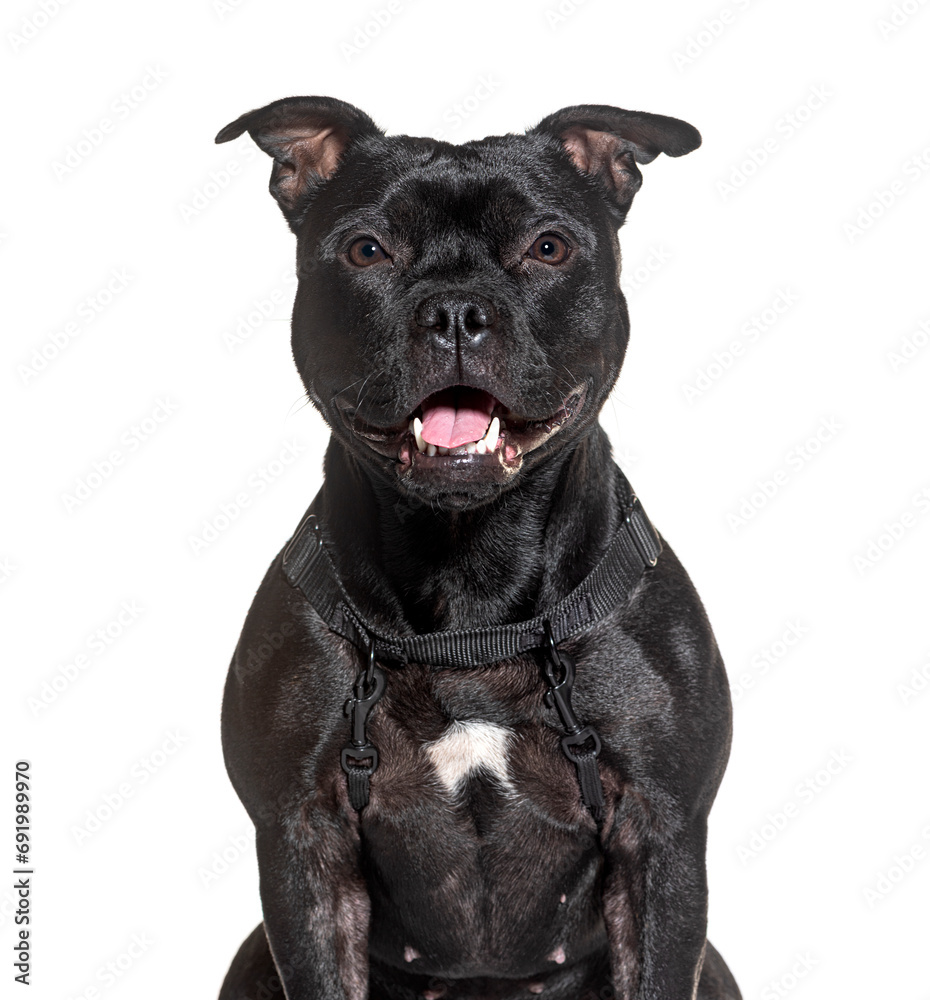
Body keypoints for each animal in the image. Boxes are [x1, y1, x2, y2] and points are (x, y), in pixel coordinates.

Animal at [216, 95, 740, 1000]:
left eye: (548, 247)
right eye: (367, 249)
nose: (456, 311)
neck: (467, 577)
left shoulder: (663, 845)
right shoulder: (302, 849)